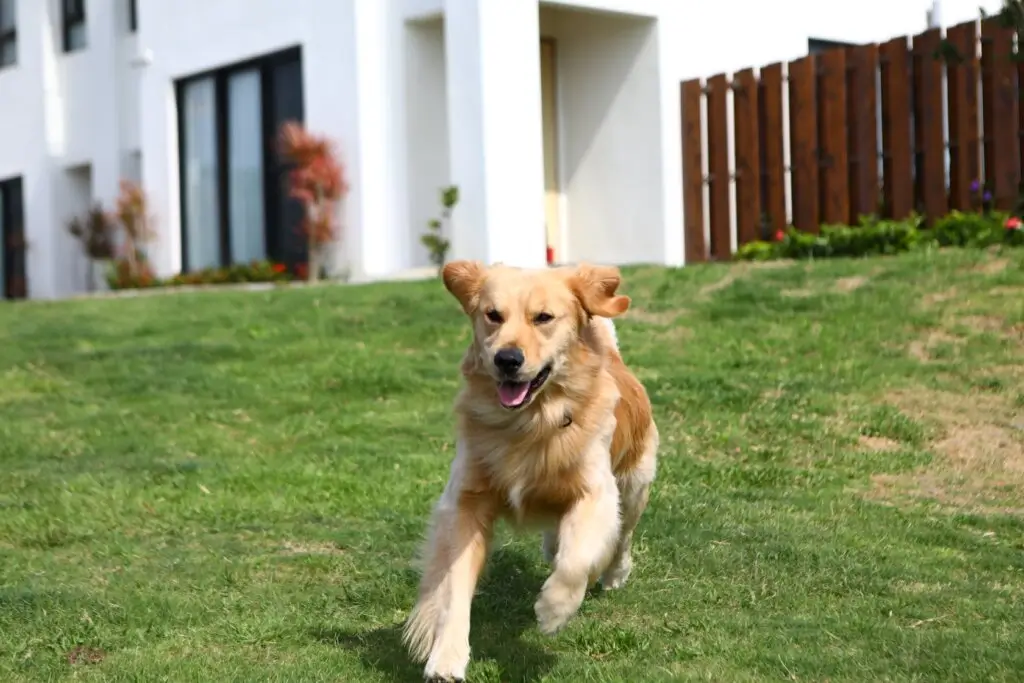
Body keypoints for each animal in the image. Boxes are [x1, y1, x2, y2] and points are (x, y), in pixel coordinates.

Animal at [403, 260, 659, 679]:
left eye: (543, 318)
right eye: (493, 315)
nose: (507, 359)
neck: (530, 422)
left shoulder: (597, 492)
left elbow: (577, 560)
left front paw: (554, 609)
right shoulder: (466, 500)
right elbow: (454, 586)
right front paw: (446, 656)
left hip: (635, 483)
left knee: (621, 537)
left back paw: (613, 574)